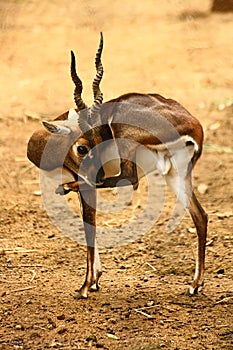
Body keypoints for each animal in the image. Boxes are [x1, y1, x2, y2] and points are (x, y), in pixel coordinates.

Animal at [27, 33, 208, 298]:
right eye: (83, 147)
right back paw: (195, 284)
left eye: (99, 140)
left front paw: (85, 286)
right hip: (176, 173)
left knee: (130, 179)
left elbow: (89, 225)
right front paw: (94, 280)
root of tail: (194, 125)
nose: (98, 173)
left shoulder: (88, 183)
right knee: (200, 216)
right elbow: (88, 221)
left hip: (129, 138)